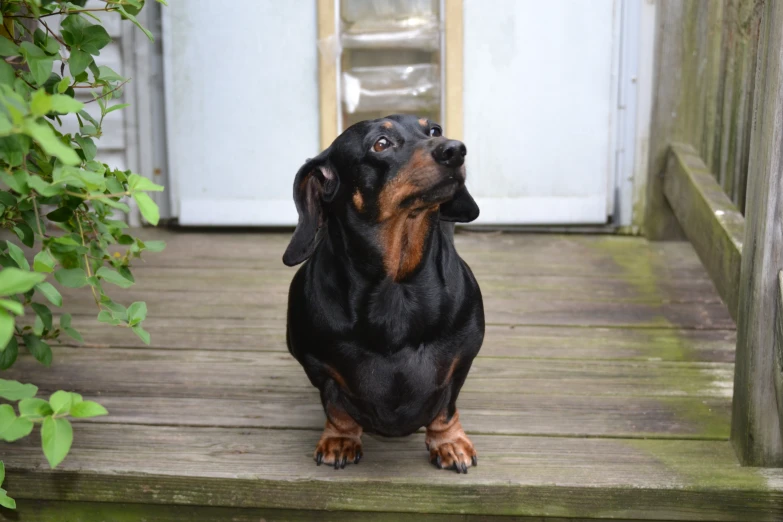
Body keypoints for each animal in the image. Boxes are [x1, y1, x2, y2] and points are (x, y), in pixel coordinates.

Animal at [284, 112, 484, 472]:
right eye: (381, 144)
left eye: (434, 130)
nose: (455, 150)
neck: (397, 285)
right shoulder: (317, 365)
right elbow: (336, 406)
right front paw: (340, 438)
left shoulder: (462, 360)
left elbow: (446, 407)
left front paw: (448, 442)